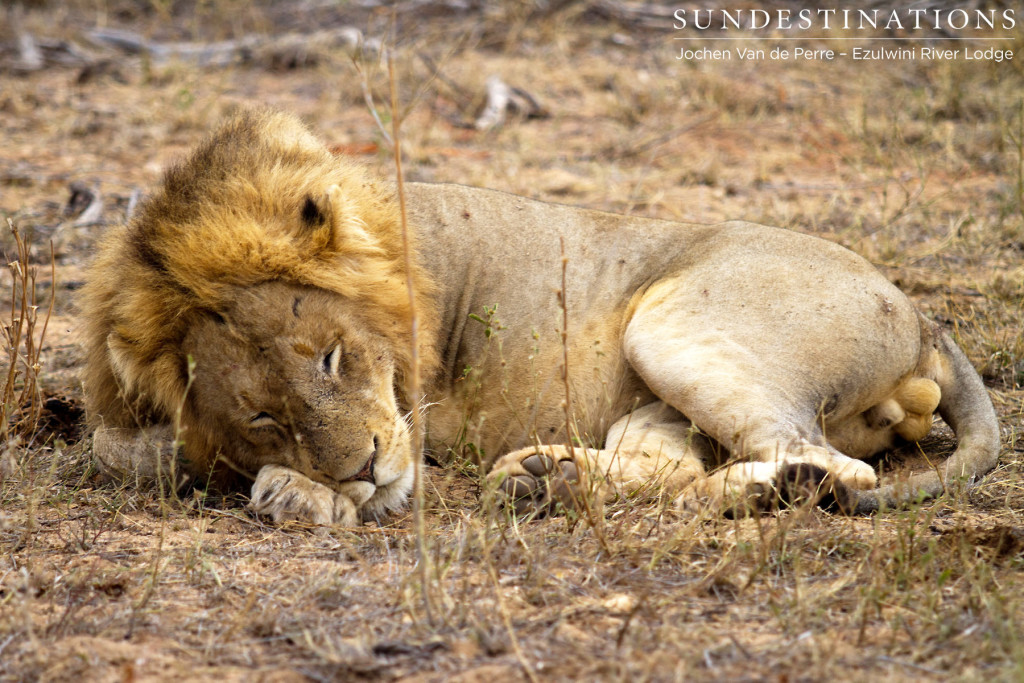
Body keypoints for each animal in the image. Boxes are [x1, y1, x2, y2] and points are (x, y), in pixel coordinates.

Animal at [81, 108, 999, 524]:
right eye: (264, 415)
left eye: (332, 357)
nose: (363, 467)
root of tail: (925, 318)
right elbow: (121, 446)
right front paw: (298, 484)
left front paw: (299, 492)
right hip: (660, 390)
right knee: (684, 465)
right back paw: (546, 477)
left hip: (669, 326)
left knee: (833, 470)